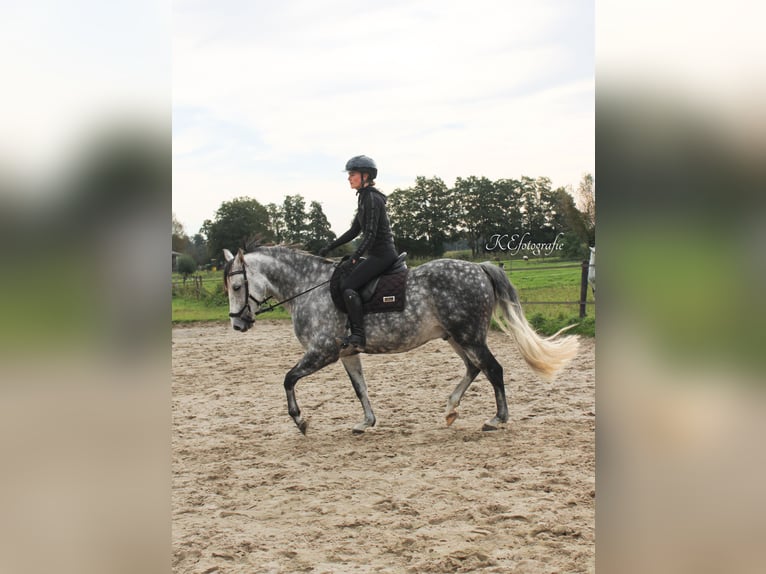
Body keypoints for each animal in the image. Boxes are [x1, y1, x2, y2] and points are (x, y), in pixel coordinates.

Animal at [225, 245, 580, 434]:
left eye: (237, 286)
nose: (238, 324)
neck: (309, 289)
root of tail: (479, 268)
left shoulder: (323, 352)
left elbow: (288, 379)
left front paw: (300, 420)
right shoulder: (347, 353)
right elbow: (360, 388)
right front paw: (366, 422)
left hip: (468, 335)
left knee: (493, 369)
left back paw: (497, 419)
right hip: (456, 337)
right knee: (474, 368)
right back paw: (451, 409)